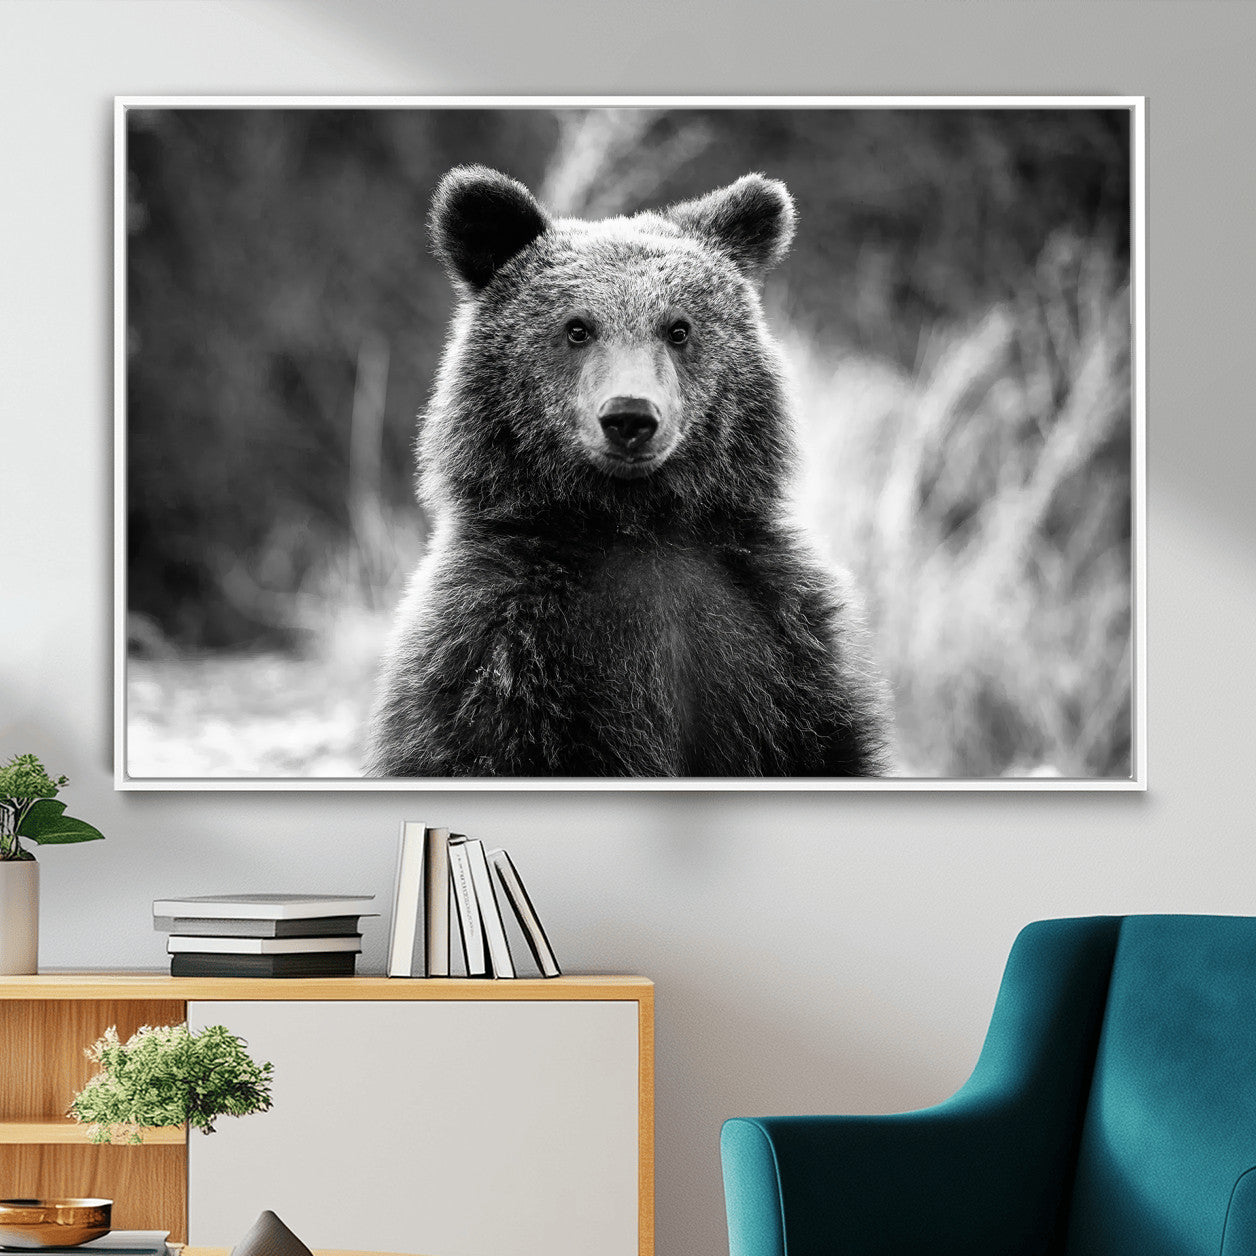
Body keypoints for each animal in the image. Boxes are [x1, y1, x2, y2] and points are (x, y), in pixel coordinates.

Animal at [364, 165, 889, 778]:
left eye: (678, 328)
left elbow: (823, 743)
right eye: (577, 328)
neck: (635, 524)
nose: (630, 417)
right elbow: (474, 743)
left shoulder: (777, 640)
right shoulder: (499, 650)